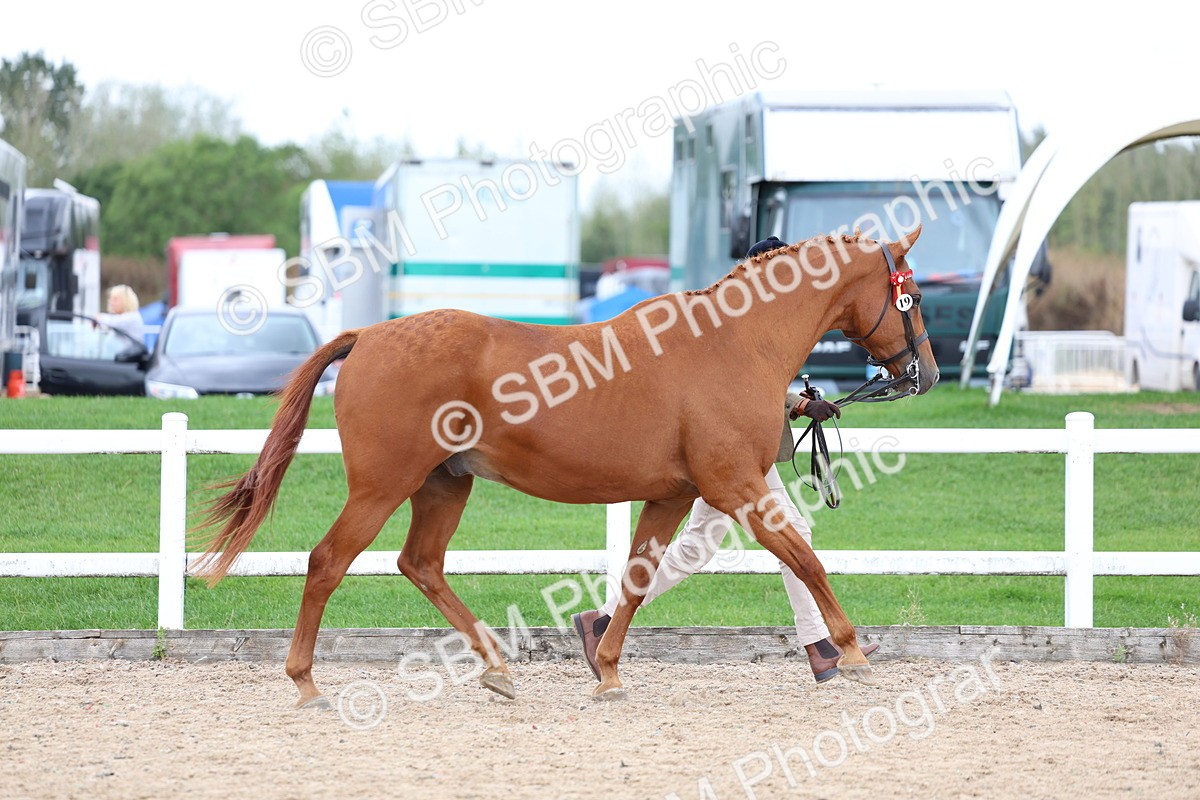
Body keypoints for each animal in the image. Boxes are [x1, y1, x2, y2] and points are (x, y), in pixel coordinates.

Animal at [193, 226, 938, 707]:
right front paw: (854, 652)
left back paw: (497, 669)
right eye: (914, 295)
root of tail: (369, 334)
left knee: (421, 564)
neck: (731, 342)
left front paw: (606, 670)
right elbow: (806, 561)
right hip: (384, 485)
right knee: (327, 562)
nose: (924, 372)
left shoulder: (675, 495)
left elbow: (636, 579)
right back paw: (305, 682)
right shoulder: (737, 488)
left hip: (445, 484)